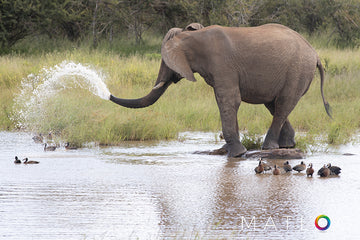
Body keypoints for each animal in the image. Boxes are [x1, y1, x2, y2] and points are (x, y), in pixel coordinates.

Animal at [109, 22, 332, 158]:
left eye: (165, 61)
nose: (106, 93)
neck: (192, 36)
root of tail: (315, 54)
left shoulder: (222, 65)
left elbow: (228, 100)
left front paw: (236, 154)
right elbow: (230, 102)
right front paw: (228, 151)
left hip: (298, 70)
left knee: (283, 104)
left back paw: (269, 148)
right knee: (275, 105)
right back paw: (287, 146)